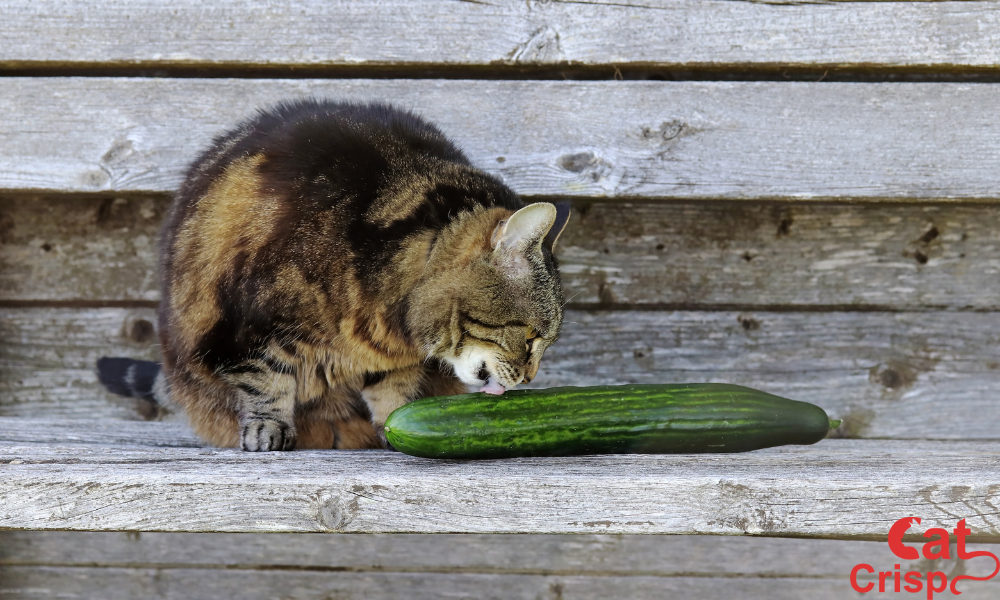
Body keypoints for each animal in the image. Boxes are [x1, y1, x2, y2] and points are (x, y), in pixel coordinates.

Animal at [101, 101, 572, 452]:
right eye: (530, 337)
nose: (530, 379)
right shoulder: (246, 328)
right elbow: (264, 379)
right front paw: (268, 428)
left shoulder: (391, 359)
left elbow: (393, 392)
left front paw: (395, 423)